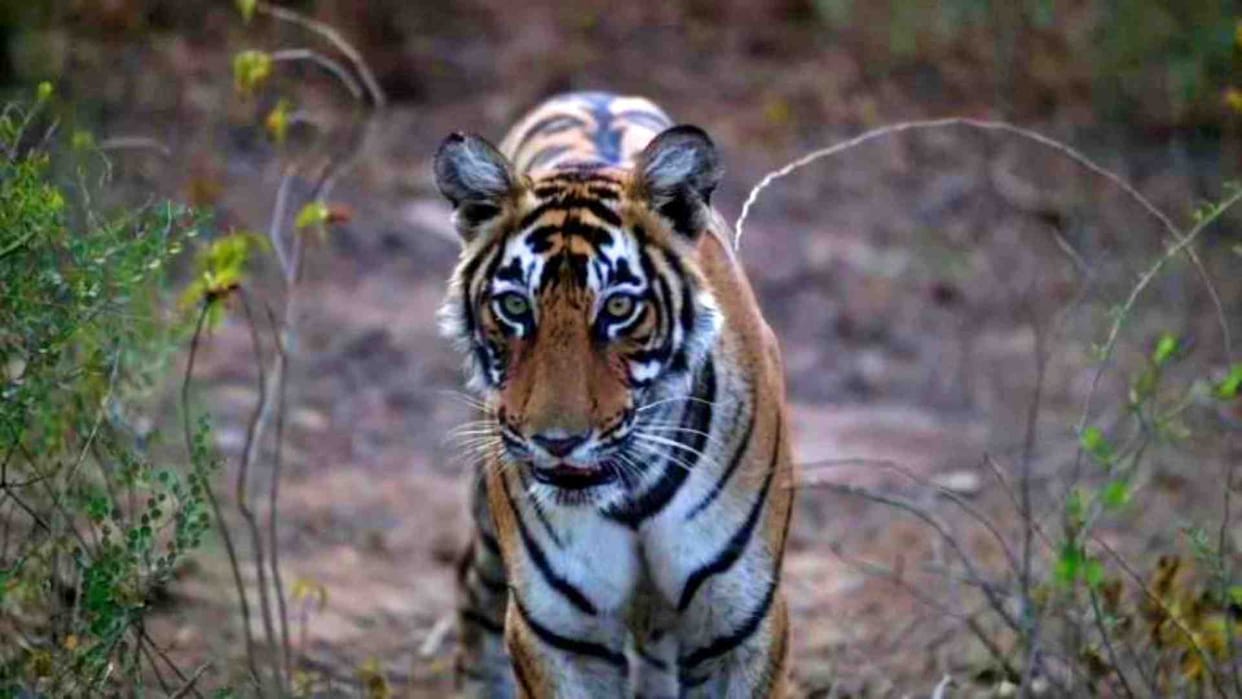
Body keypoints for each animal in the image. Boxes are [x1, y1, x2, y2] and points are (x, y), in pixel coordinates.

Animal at [434, 91, 795, 698]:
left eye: (620, 308)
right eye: (514, 306)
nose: (557, 442)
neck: (633, 495)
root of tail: (591, 94)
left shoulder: (741, 627)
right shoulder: (559, 636)